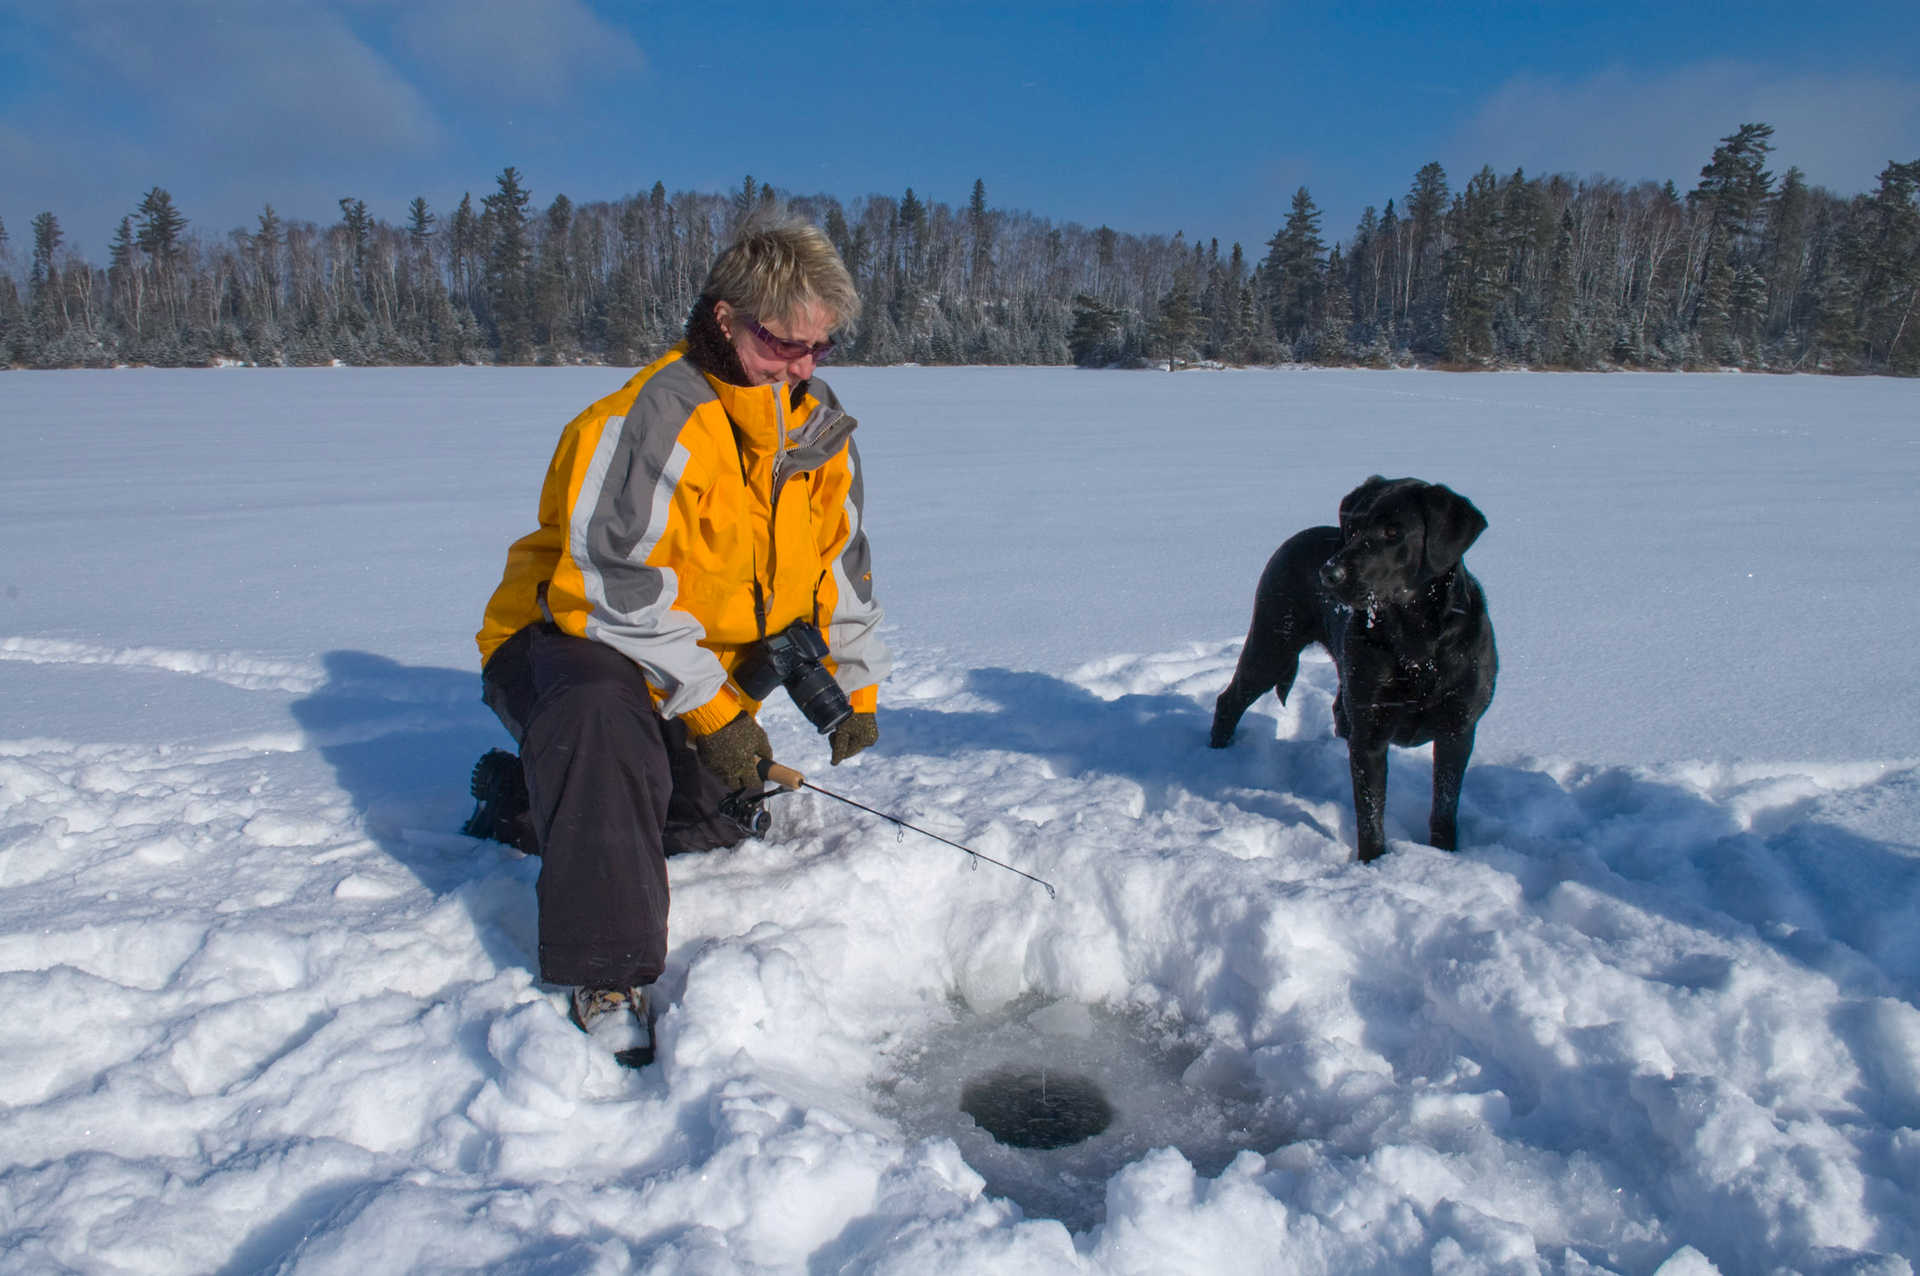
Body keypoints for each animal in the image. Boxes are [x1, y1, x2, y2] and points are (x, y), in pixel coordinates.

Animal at [1205, 477, 1489, 867]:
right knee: (1229, 699)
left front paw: (1445, 853)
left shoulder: (1457, 730)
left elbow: (1444, 807)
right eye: (1352, 526)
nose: (1329, 573)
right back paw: (1216, 754)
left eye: (1393, 531)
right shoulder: (1371, 736)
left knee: (1338, 709)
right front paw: (1373, 864)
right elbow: (1370, 813)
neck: (1415, 641)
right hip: (1271, 645)